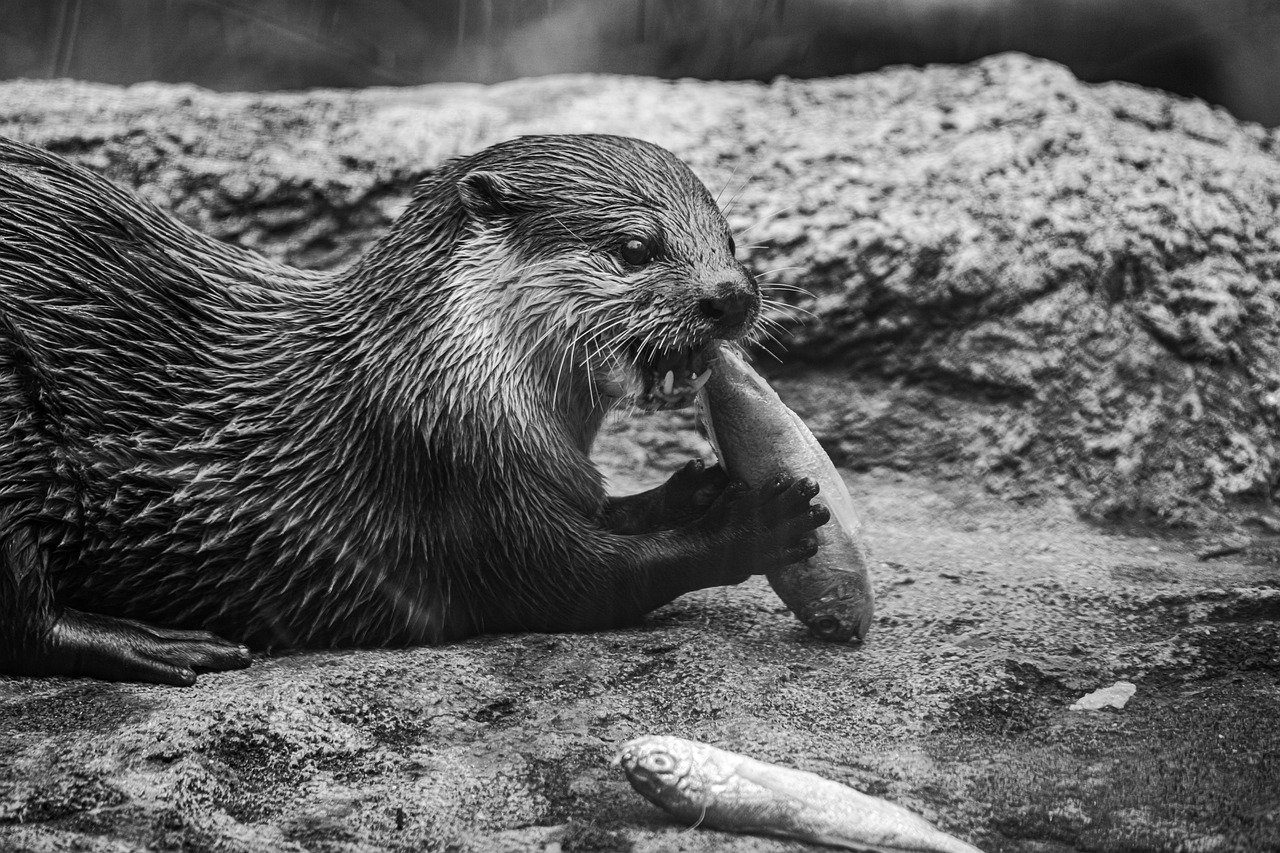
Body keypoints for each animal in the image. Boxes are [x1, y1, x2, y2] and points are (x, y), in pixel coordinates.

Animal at [0, 136, 829, 686]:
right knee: (23, 617)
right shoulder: (446, 467)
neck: (433, 370)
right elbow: (582, 578)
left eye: (730, 240)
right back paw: (160, 644)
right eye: (635, 247)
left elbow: (604, 510)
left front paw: (693, 486)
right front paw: (758, 520)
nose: (730, 295)